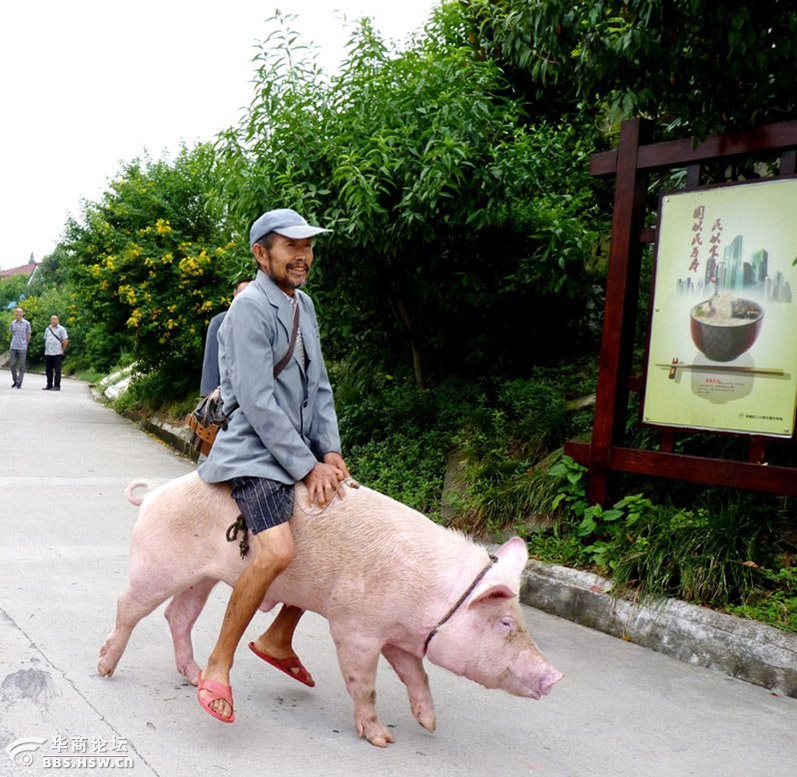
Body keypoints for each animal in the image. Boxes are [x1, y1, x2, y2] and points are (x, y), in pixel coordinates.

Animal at [98, 470, 560, 744]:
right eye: (505, 622)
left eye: (521, 621)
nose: (555, 676)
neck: (436, 599)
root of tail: (153, 494)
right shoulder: (355, 627)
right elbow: (364, 683)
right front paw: (382, 740)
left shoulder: (400, 638)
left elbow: (417, 675)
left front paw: (429, 725)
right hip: (158, 565)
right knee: (128, 605)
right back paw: (106, 668)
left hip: (202, 577)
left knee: (179, 614)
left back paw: (194, 678)